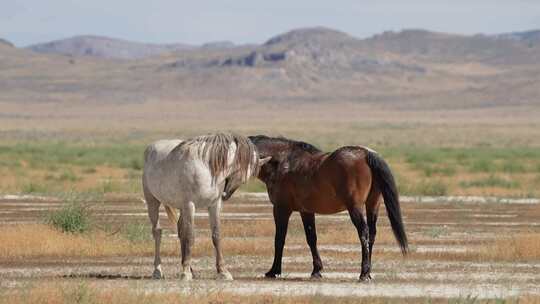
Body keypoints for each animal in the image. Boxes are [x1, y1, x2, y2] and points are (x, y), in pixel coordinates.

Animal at [141, 134, 270, 282]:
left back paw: (190, 269)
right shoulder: (189, 205)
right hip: (153, 201)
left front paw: (223, 271)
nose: (225, 195)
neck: (207, 169)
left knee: (180, 230)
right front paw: (185, 273)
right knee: (157, 232)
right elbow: (190, 236)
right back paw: (158, 270)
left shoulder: (214, 205)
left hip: (181, 208)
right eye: (239, 172)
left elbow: (216, 235)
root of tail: (151, 147)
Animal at [247, 135, 408, 280]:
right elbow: (311, 238)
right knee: (372, 234)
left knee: (364, 233)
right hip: (373, 204)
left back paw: (363, 273)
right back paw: (368, 273)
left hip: (355, 208)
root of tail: (367, 154)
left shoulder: (281, 209)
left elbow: (279, 239)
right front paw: (316, 270)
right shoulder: (306, 211)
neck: (282, 161)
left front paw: (274, 271)